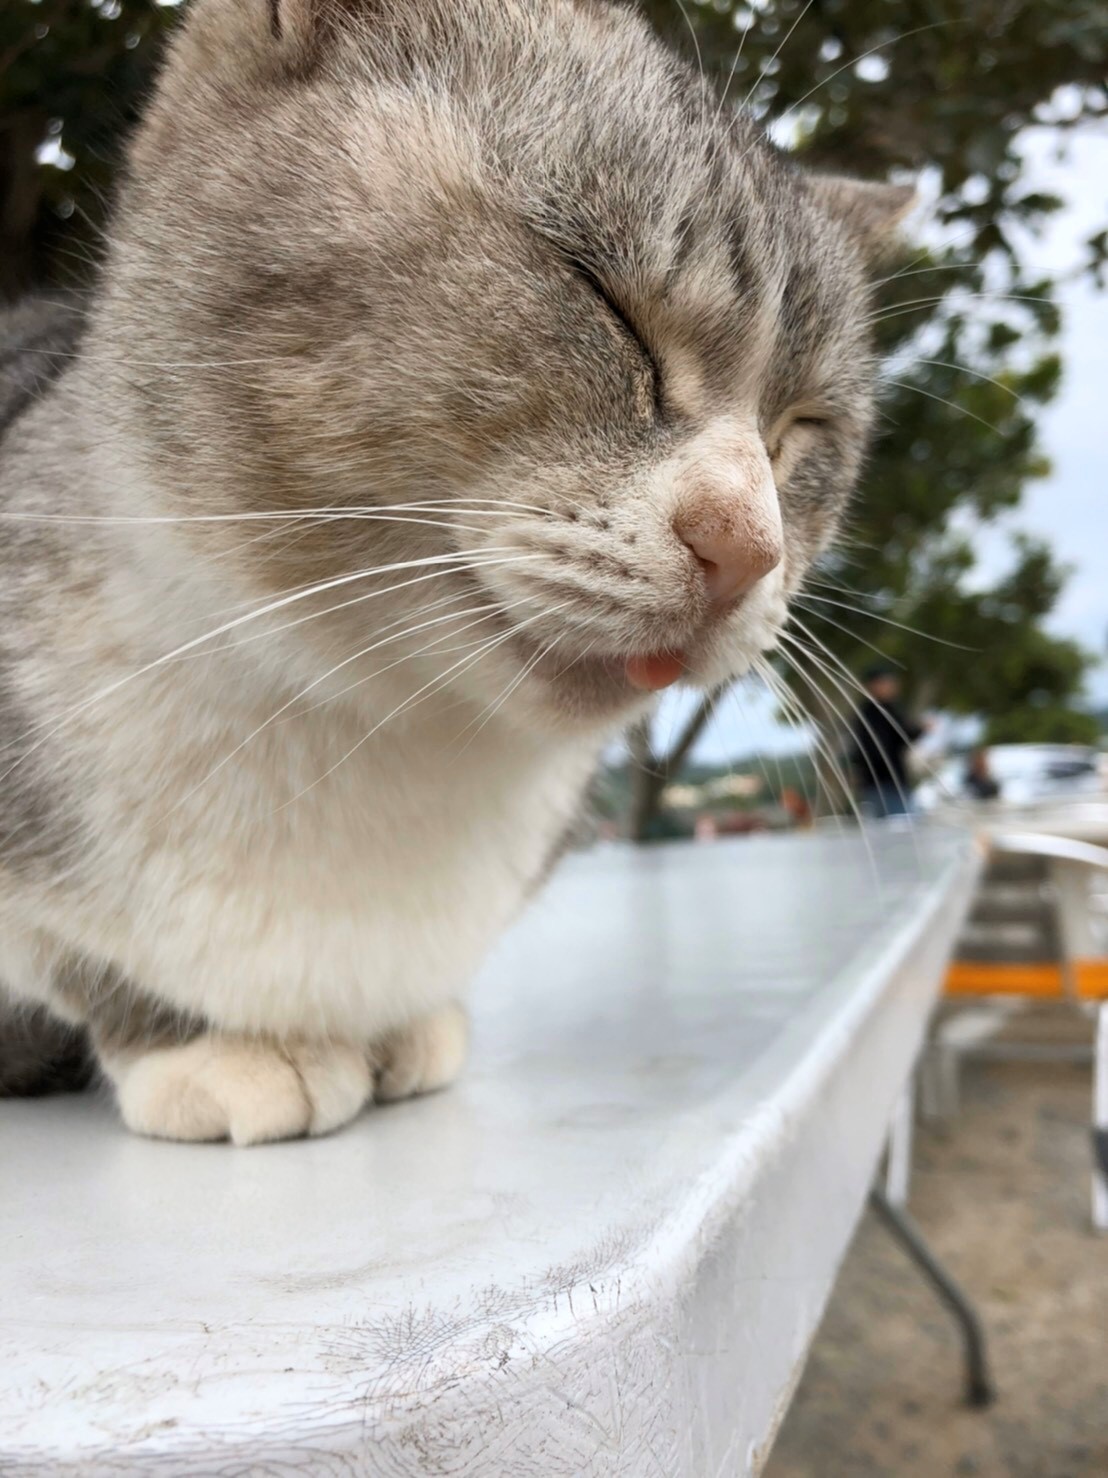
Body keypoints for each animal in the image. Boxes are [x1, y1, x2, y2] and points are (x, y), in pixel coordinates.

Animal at [0, 0, 915, 1141]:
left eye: (804, 431)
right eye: (603, 299)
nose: (747, 545)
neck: (372, 744)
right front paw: (216, 1040)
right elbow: (77, 957)